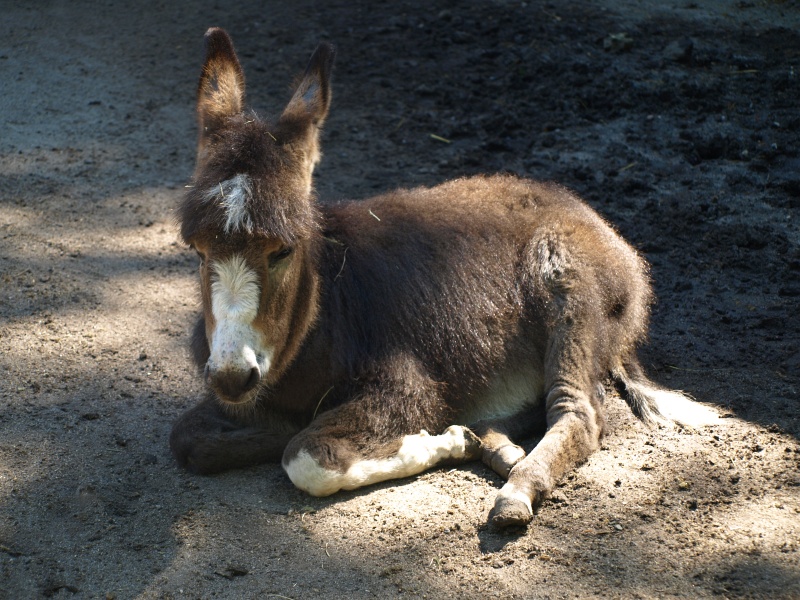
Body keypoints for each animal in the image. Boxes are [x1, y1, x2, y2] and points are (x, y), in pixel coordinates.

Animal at [170, 28, 717, 529]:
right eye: (196, 249)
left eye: (282, 250)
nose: (232, 376)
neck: (326, 307)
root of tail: (597, 220)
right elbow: (188, 441)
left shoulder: (406, 385)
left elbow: (306, 458)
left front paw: (439, 441)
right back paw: (495, 445)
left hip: (568, 285)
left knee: (577, 411)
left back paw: (512, 487)